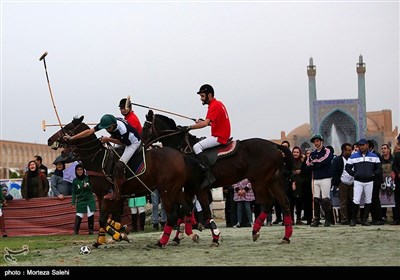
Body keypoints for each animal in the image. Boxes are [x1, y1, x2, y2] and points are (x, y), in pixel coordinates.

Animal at [47, 116, 198, 247]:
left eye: (67, 128)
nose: (49, 140)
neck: (97, 161)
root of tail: (181, 155)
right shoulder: (102, 196)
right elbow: (106, 219)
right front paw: (101, 240)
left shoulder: (108, 196)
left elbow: (103, 219)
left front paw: (119, 236)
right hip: (175, 189)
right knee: (187, 208)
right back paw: (188, 235)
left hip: (166, 191)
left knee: (172, 215)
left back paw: (162, 242)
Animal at [142, 110, 296, 244]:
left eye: (146, 127)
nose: (142, 144)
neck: (184, 151)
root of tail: (275, 146)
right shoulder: (189, 187)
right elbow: (185, 210)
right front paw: (180, 236)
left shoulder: (198, 187)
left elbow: (202, 210)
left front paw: (213, 237)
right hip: (273, 181)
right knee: (285, 203)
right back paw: (286, 237)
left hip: (259, 181)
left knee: (269, 203)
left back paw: (255, 231)